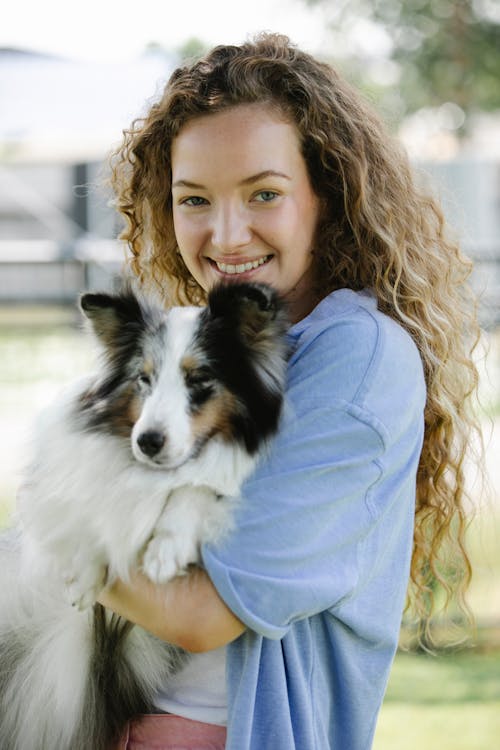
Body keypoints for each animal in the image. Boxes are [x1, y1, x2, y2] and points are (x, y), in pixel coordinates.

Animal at [0, 282, 290, 750]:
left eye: (199, 379)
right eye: (144, 378)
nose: (147, 442)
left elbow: (193, 489)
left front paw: (165, 549)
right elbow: (94, 501)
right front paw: (85, 570)